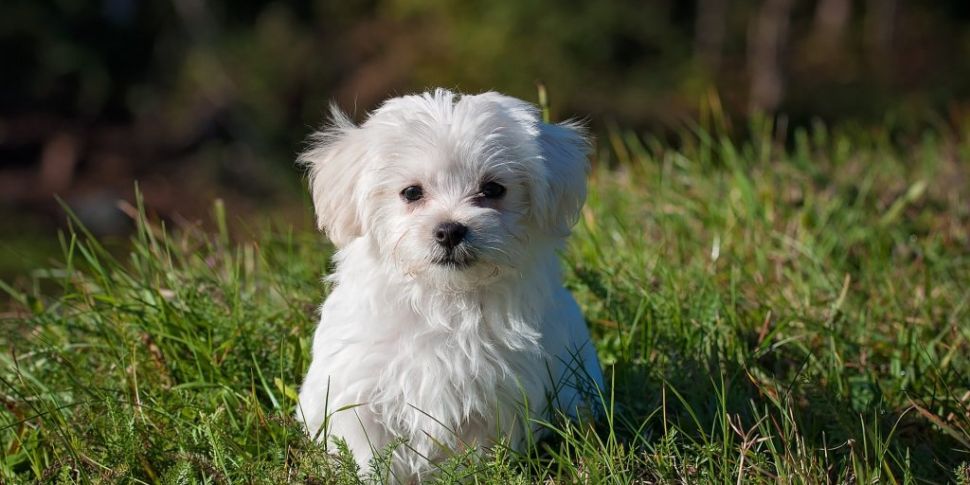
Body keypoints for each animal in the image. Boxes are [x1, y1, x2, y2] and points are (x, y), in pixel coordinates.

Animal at [296, 88, 596, 480]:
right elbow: (370, 452)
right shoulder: (359, 389)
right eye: (411, 192)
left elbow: (477, 453)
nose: (450, 230)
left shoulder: (497, 395)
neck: (444, 298)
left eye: (493, 189)